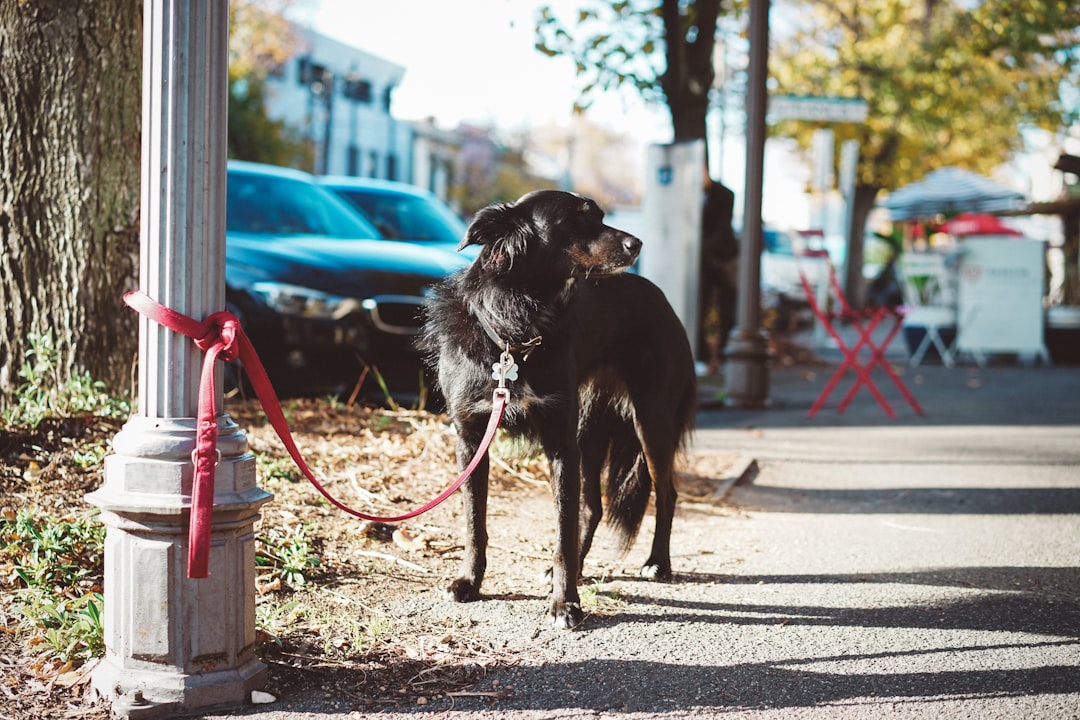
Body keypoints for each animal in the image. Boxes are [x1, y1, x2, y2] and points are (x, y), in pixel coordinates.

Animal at [416, 188, 695, 626]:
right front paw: (470, 582)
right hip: (589, 427)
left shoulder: (560, 441)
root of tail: (662, 299)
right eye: (574, 220)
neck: (515, 330)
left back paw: (657, 562)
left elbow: (562, 529)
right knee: (594, 506)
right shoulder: (472, 437)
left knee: (665, 492)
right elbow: (475, 523)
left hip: (650, 421)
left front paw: (566, 603)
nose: (637, 244)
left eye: (599, 216)